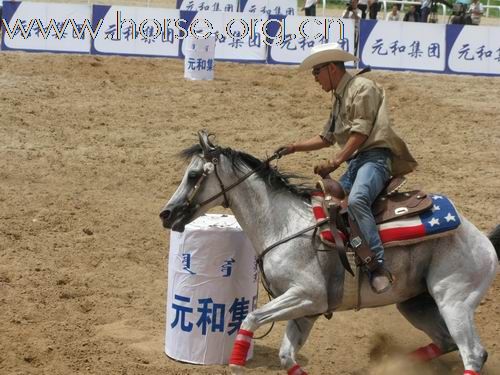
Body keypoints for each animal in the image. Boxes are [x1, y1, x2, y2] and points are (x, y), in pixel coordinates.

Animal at [161, 134, 500, 375]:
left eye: (194, 175)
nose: (166, 214)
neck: (284, 224)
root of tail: (481, 238)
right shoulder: (306, 310)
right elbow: (287, 356)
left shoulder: (307, 295)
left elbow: (252, 318)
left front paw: (234, 362)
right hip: (416, 304)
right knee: (447, 342)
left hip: (453, 301)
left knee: (472, 354)